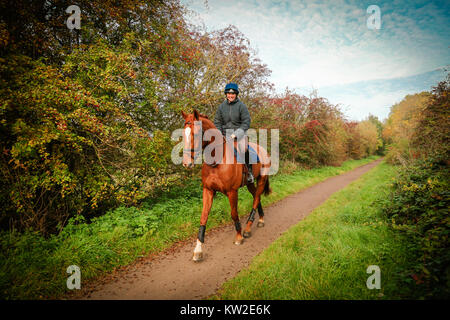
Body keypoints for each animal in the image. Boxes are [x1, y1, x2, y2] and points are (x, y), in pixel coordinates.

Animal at [181, 109, 272, 262]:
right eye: (183, 133)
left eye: (197, 133)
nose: (186, 163)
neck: (217, 160)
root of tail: (263, 149)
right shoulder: (208, 190)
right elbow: (203, 216)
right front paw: (198, 249)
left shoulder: (232, 191)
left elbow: (234, 214)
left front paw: (239, 237)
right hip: (250, 184)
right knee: (256, 197)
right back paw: (260, 219)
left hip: (262, 179)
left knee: (256, 198)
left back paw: (248, 228)